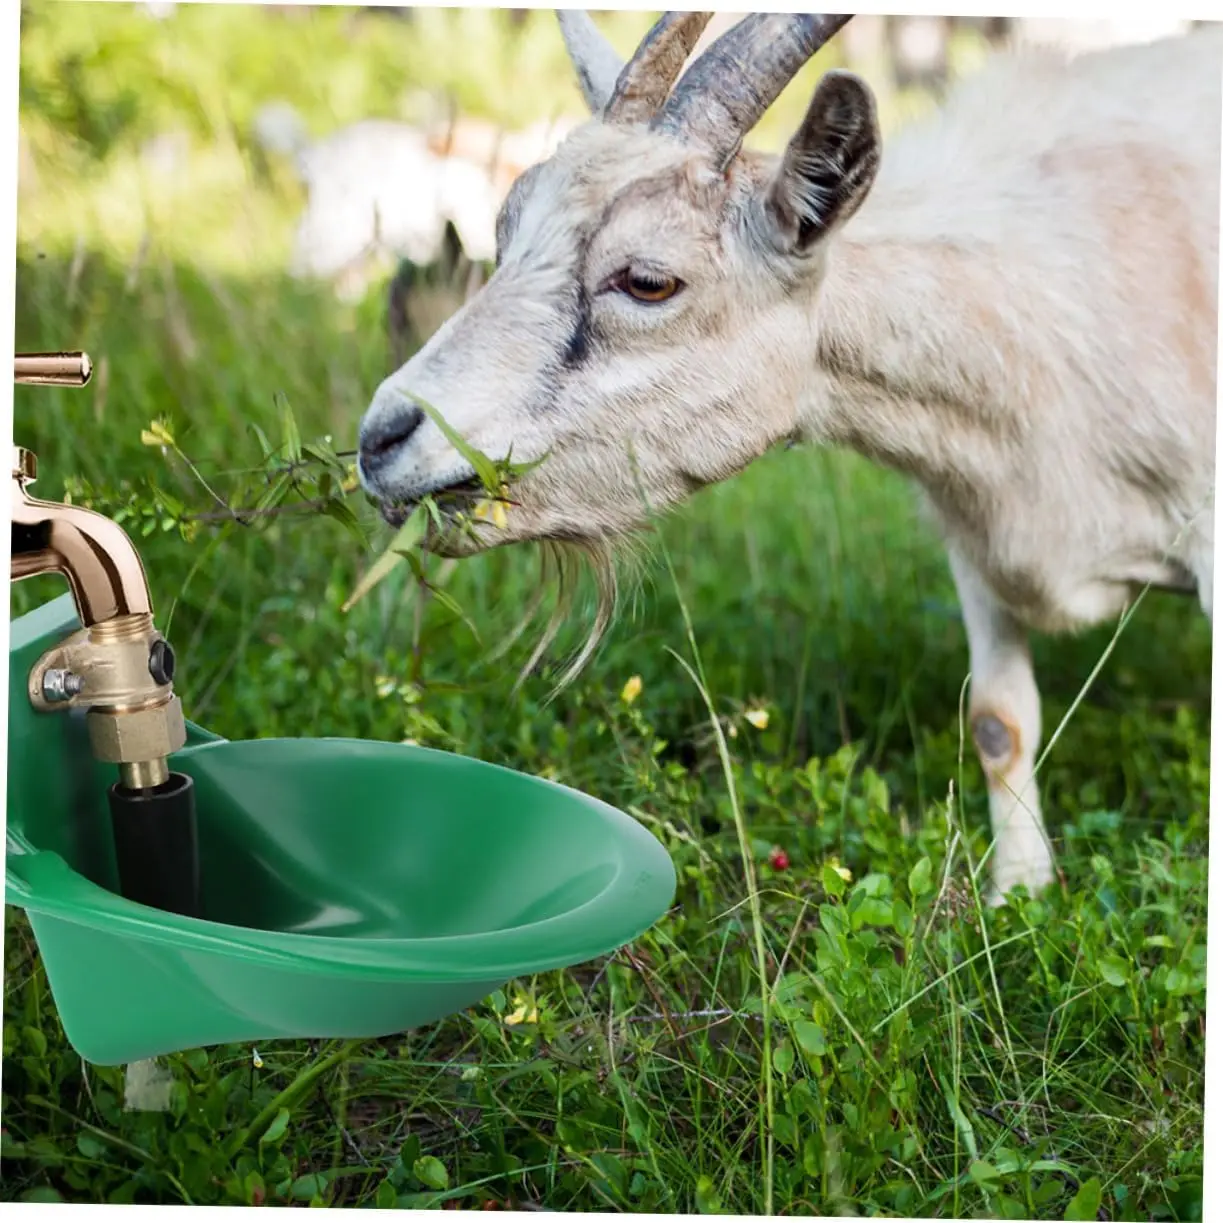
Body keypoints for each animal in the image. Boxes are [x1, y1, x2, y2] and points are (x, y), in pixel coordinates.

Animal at [356, 12, 1220, 904]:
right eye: (504, 233)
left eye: (648, 280)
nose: (383, 438)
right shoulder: (976, 542)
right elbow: (997, 721)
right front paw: (1020, 895)